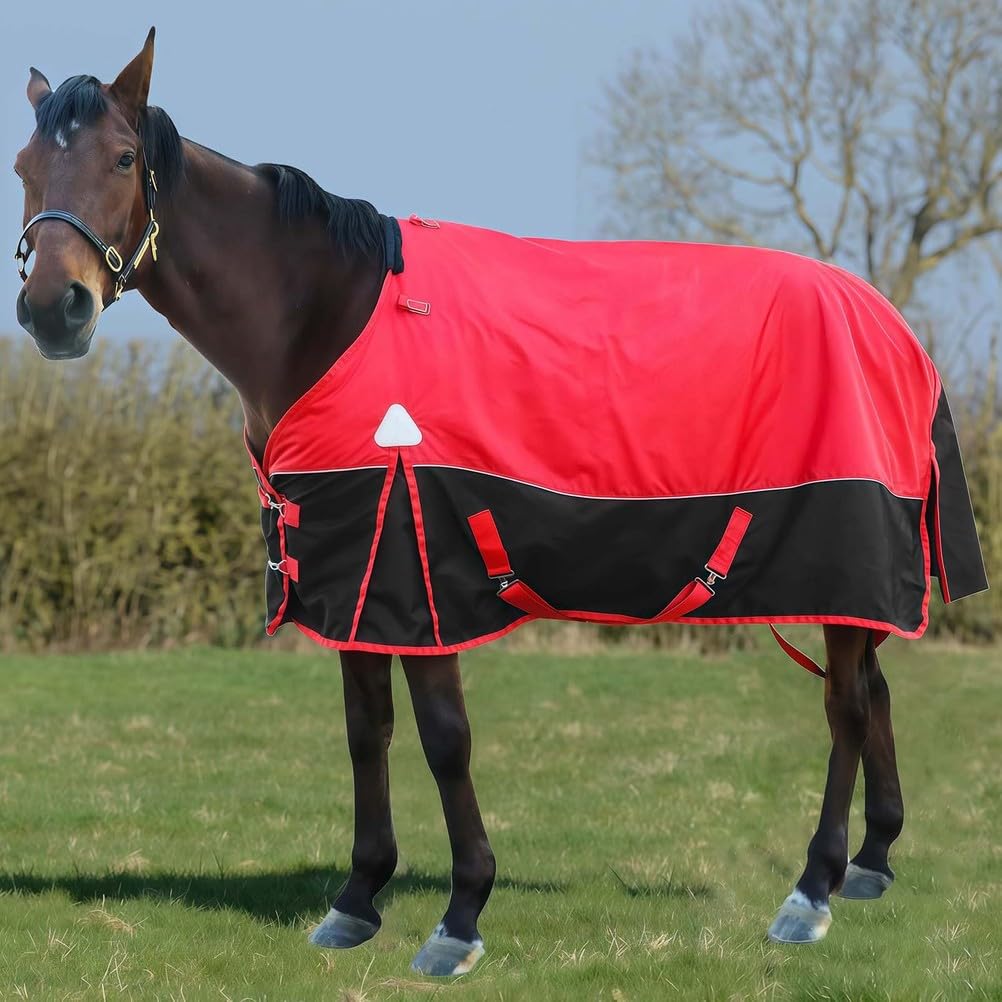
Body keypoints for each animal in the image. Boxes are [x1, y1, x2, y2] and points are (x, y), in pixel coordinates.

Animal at [12, 31, 987, 977]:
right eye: (23, 166)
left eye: (123, 158)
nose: (54, 311)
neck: (328, 315)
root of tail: (893, 325)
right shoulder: (350, 572)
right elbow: (366, 731)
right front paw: (357, 901)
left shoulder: (420, 568)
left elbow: (445, 739)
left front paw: (459, 919)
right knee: (875, 692)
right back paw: (871, 865)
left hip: (842, 558)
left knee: (846, 708)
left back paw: (812, 891)